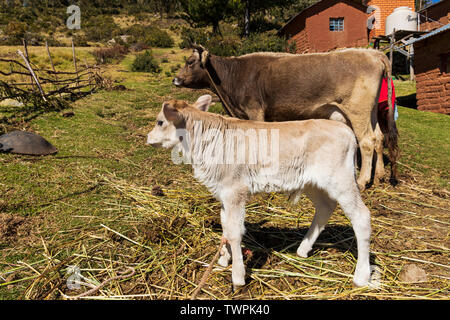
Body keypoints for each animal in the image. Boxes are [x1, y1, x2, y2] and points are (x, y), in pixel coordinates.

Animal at [174, 46, 400, 189]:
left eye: (190, 62)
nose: (175, 79)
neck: (234, 77)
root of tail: (372, 53)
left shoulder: (255, 111)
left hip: (357, 110)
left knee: (367, 141)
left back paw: (362, 182)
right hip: (370, 112)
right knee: (378, 137)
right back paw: (378, 176)